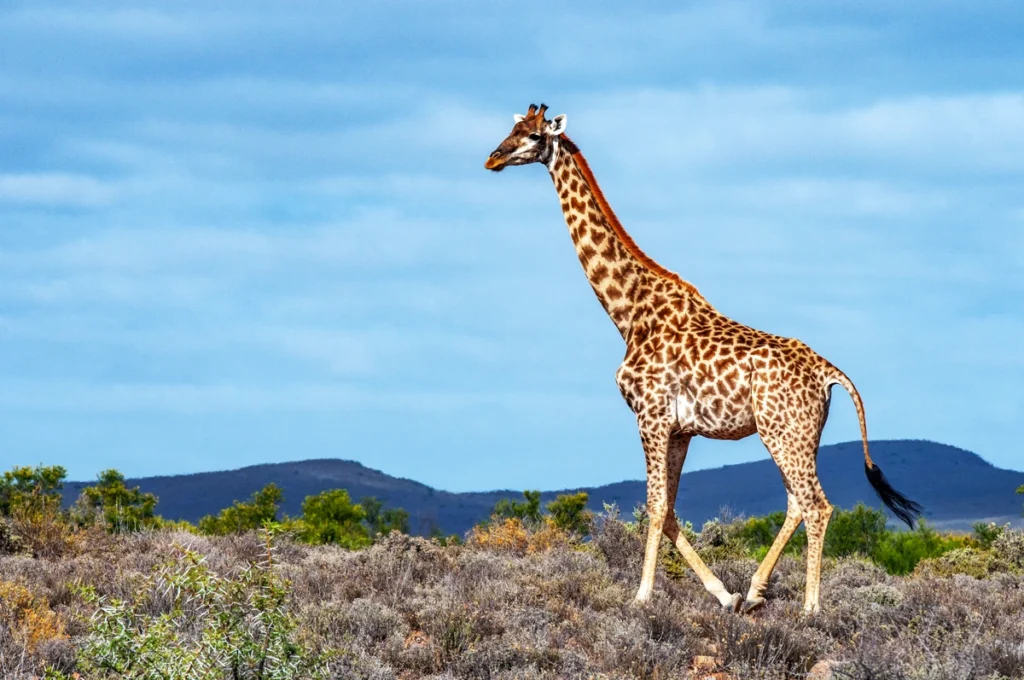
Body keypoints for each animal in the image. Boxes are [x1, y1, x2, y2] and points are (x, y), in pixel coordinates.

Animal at [484, 104, 922, 614]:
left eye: (534, 136)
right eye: (511, 128)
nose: (493, 158)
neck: (627, 311)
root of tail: (829, 372)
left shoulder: (650, 415)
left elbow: (655, 508)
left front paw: (641, 597)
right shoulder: (680, 429)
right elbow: (670, 510)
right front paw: (723, 594)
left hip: (782, 433)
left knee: (816, 504)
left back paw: (810, 608)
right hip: (799, 435)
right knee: (797, 501)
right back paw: (753, 591)